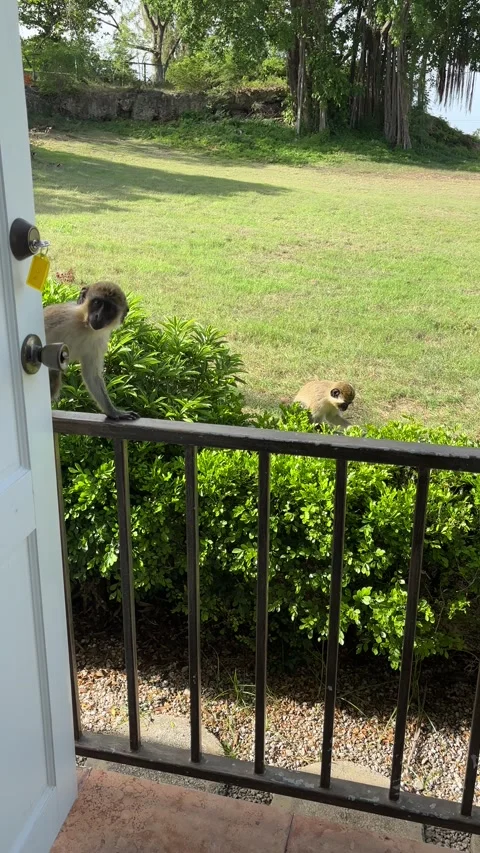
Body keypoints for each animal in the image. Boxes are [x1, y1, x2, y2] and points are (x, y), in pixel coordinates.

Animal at [43, 282, 139, 421]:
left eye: (109, 309)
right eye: (97, 303)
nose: (98, 316)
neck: (86, 327)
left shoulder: (99, 341)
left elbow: (92, 375)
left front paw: (114, 412)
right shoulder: (61, 315)